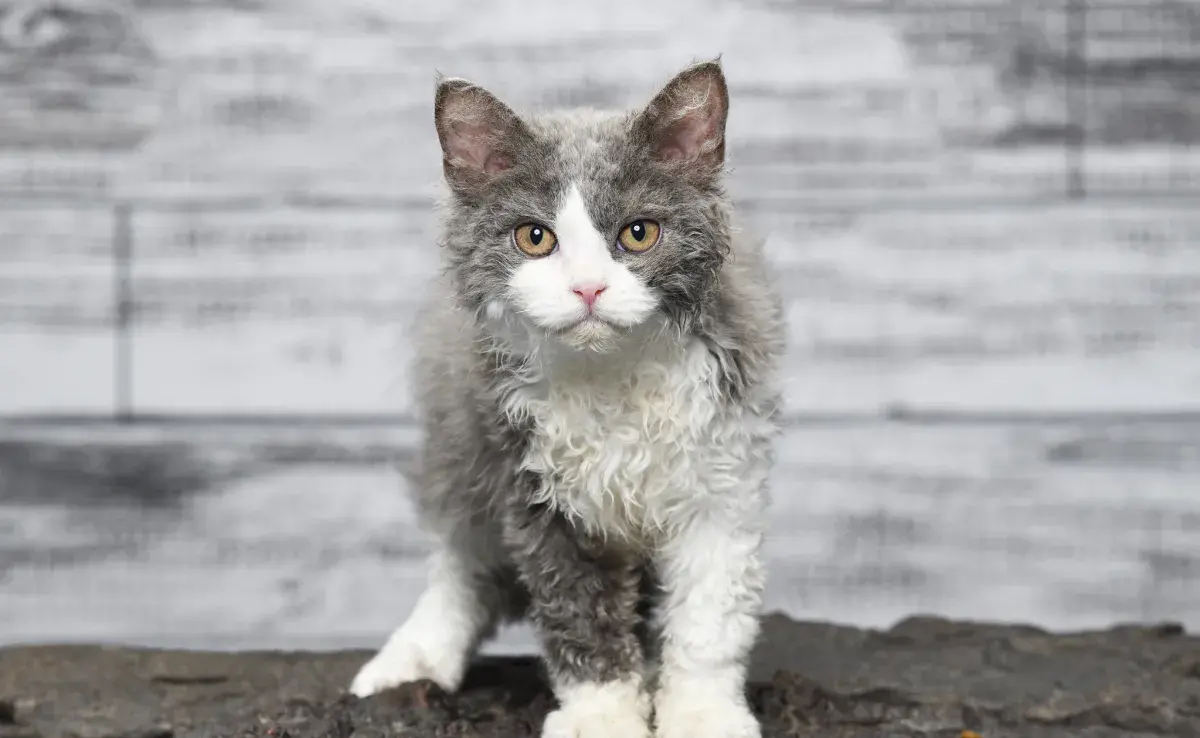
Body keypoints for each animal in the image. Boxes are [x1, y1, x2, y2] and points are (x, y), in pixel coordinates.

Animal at [350, 60, 787, 738]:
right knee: (463, 560)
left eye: (639, 234)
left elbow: (709, 619)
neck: (612, 376)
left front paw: (702, 713)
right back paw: (414, 655)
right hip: (459, 439)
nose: (588, 288)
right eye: (534, 237)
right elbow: (579, 616)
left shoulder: (723, 475)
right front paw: (602, 716)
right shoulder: (533, 486)